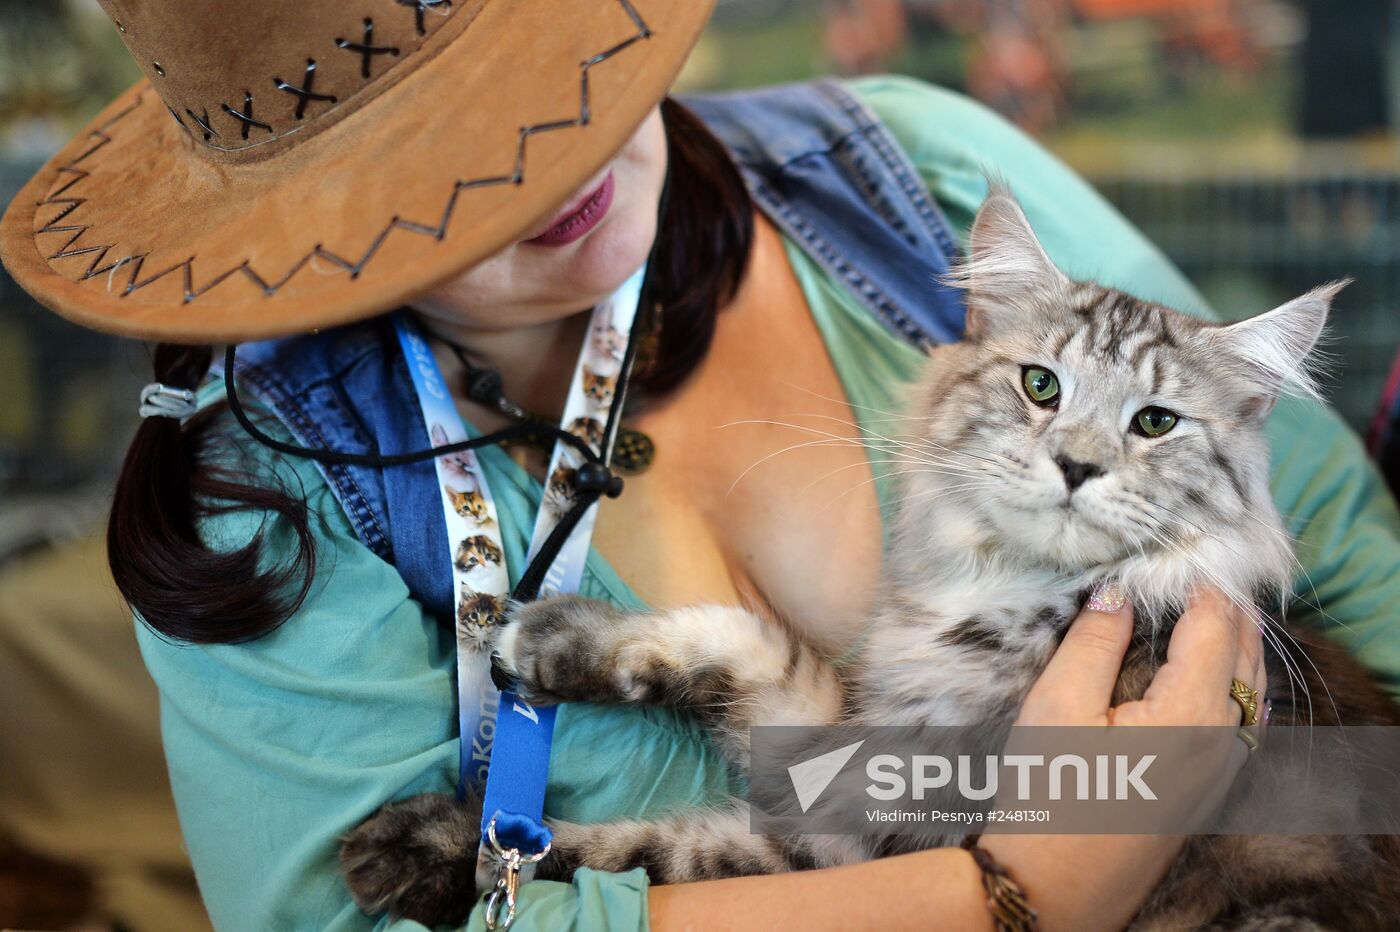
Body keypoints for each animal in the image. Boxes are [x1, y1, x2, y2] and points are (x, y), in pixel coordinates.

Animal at [341, 190, 1400, 929]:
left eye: (1154, 423)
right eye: (1041, 386)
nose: (1077, 464)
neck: (1004, 599)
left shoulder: (870, 840)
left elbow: (631, 855)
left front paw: (431, 849)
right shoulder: (837, 752)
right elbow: (739, 646)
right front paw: (553, 643)